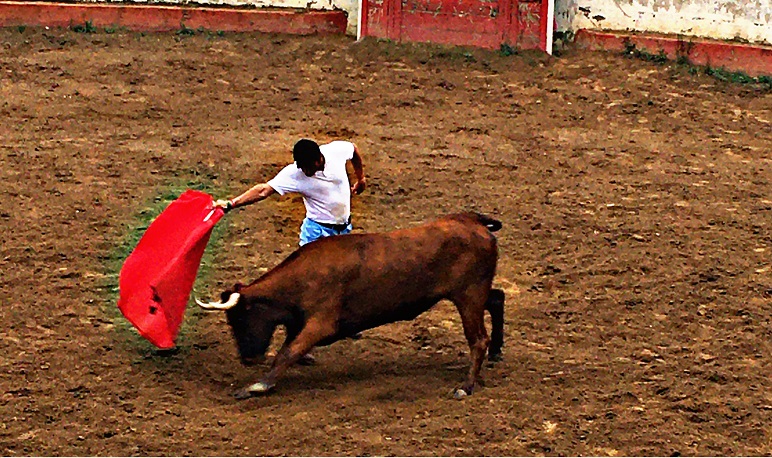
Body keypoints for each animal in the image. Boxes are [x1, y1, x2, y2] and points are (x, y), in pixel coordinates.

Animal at [197, 212, 505, 399]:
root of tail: (472, 221)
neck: (302, 277)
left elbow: (288, 352)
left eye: (239, 319)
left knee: (478, 339)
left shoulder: (321, 324)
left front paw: (258, 385)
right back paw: (496, 352)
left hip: (468, 296)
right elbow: (290, 347)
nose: (248, 359)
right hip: (475, 293)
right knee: (498, 299)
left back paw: (466, 386)